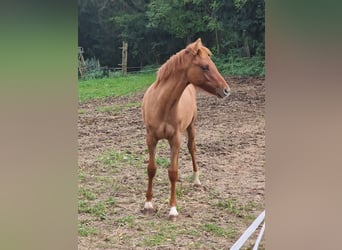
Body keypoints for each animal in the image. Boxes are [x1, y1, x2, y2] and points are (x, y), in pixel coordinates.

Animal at [142, 38, 230, 221]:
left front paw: (173, 209)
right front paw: (147, 204)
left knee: (192, 148)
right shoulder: (151, 138)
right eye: (205, 66)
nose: (226, 90)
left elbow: (173, 172)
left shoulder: (175, 139)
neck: (162, 104)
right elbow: (151, 169)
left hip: (191, 127)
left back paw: (196, 180)